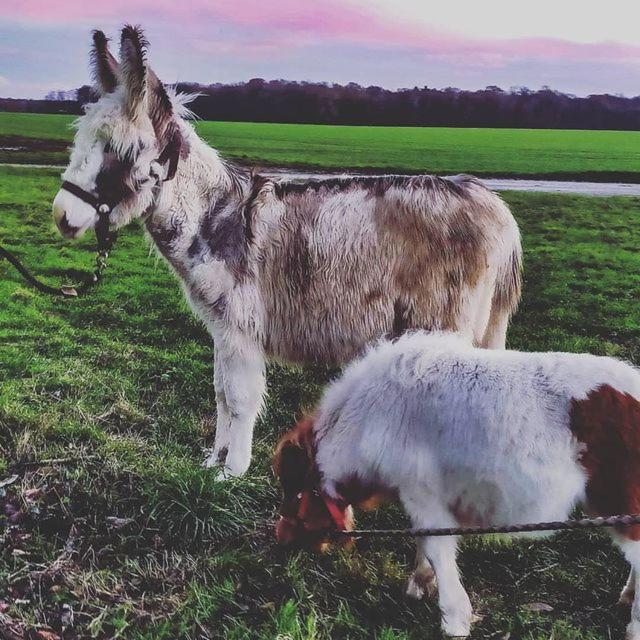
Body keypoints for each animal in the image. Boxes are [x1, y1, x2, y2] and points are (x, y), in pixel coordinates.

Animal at [52, 26, 524, 476]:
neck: (214, 217)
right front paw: (213, 461)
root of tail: (493, 205)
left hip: (445, 326)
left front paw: (232, 472)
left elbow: (239, 398)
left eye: (119, 149)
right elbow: (220, 394)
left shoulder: (241, 327)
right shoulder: (221, 329)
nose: (61, 215)